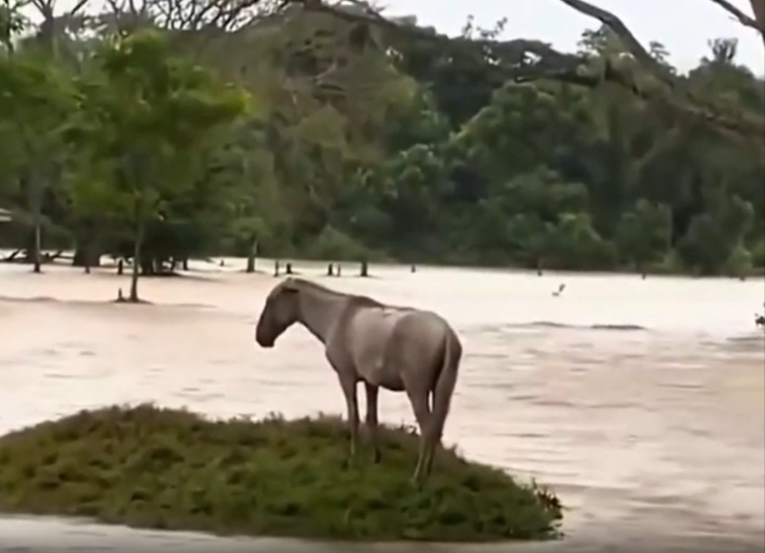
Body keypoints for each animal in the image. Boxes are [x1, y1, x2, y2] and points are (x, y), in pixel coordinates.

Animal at [254, 277, 463, 482]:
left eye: (271, 301)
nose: (261, 337)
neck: (332, 317)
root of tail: (447, 335)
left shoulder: (346, 376)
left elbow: (353, 416)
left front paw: (352, 459)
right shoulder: (371, 381)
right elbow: (371, 417)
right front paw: (375, 457)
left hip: (417, 388)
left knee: (427, 428)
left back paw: (418, 476)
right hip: (441, 389)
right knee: (437, 427)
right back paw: (428, 470)